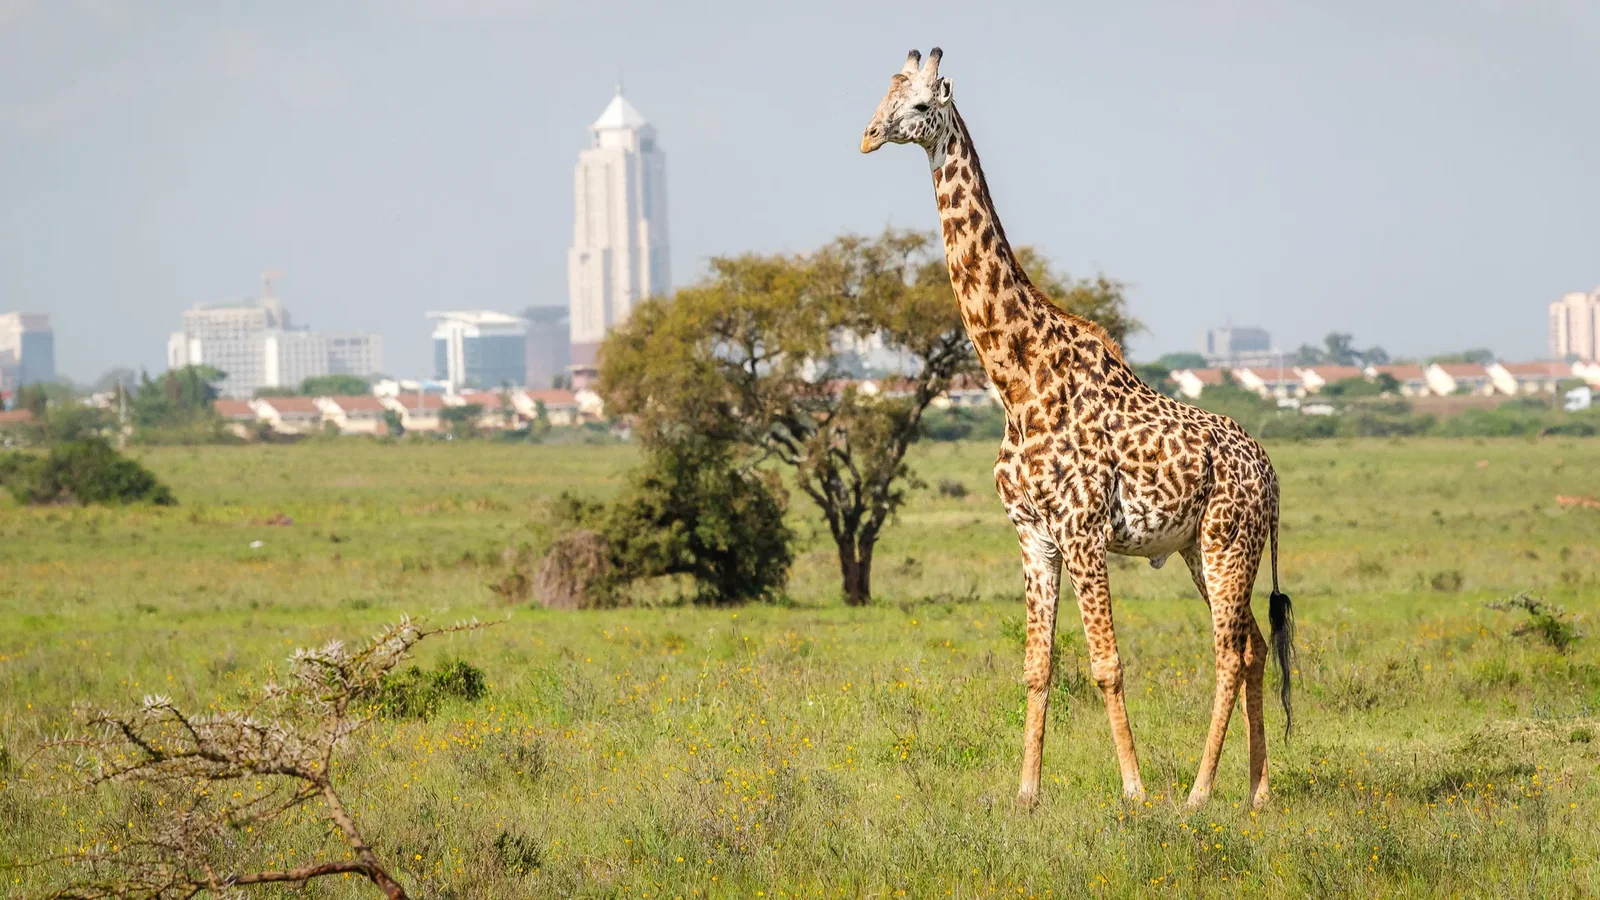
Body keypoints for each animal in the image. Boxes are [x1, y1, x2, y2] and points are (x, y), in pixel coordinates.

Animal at [861, 48, 1295, 810]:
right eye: (884, 95)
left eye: (919, 105)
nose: (868, 136)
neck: (1017, 379)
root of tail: (1271, 476)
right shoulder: (1034, 535)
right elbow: (1037, 665)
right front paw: (1027, 794)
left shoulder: (1084, 529)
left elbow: (1106, 663)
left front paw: (1134, 791)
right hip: (1199, 549)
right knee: (1253, 648)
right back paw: (1257, 791)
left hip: (1227, 542)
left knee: (1227, 651)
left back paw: (1199, 793)